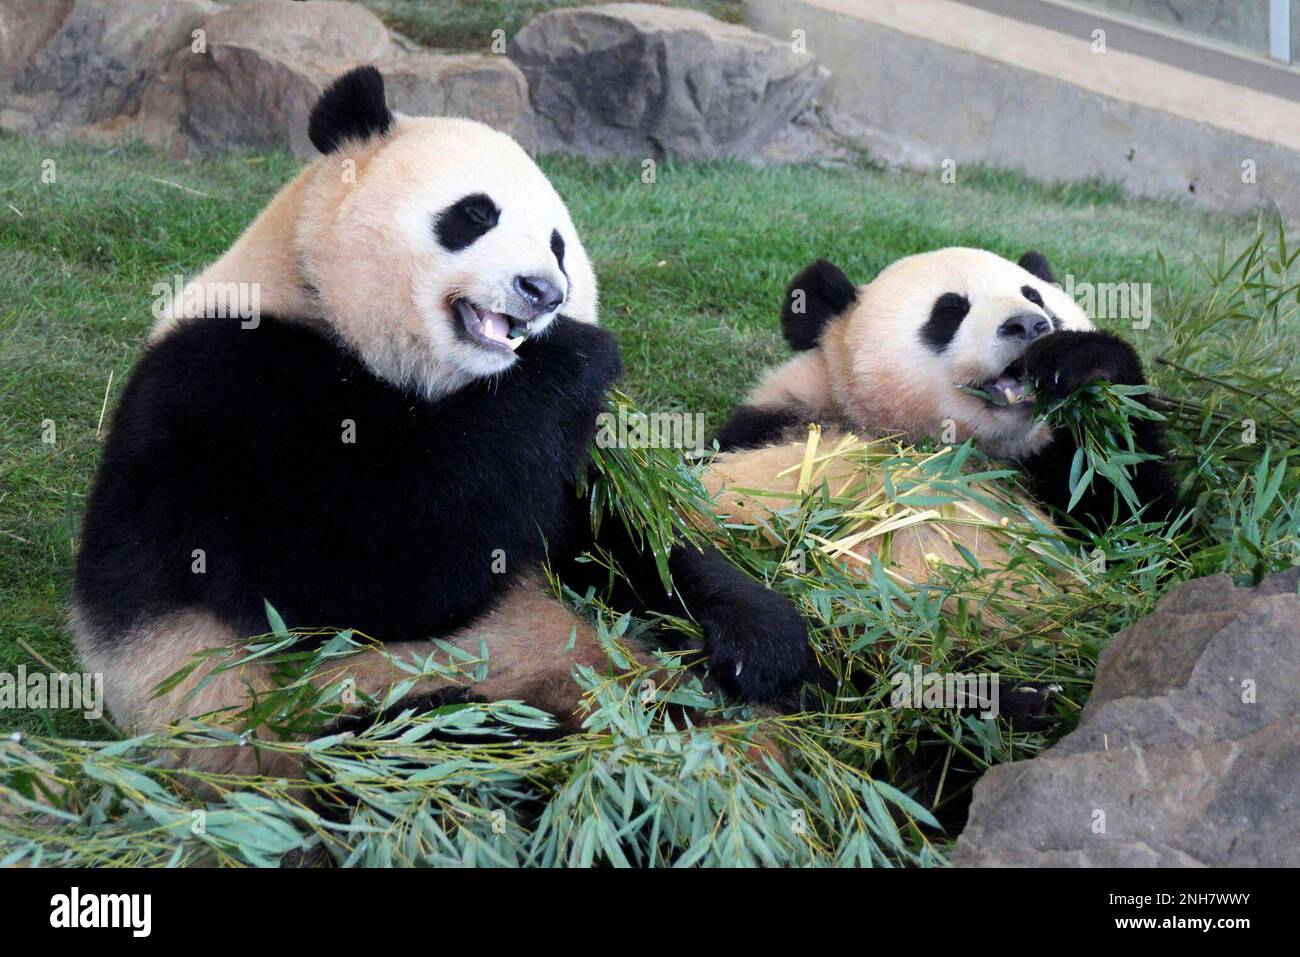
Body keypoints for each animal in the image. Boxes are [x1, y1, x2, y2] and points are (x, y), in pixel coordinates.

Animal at [73, 65, 811, 780]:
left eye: (558, 245)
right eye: (474, 214)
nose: (544, 292)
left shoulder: (547, 456)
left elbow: (621, 534)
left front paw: (764, 640)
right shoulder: (226, 392)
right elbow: (362, 570)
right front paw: (578, 352)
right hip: (298, 717)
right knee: (425, 752)